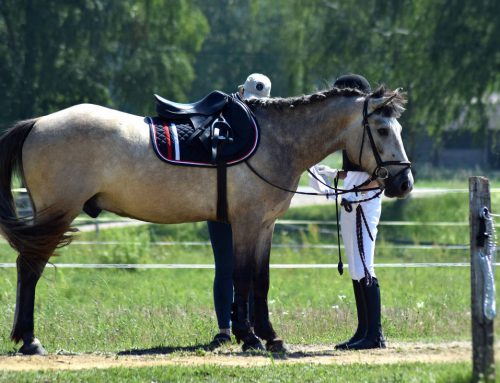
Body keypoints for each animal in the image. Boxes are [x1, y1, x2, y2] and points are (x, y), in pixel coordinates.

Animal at [0, 85, 414, 356]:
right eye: (381, 129)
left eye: (399, 129)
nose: (404, 182)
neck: (275, 140)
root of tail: (38, 123)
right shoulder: (246, 223)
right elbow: (243, 279)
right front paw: (251, 338)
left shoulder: (264, 226)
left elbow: (261, 281)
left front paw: (270, 337)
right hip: (56, 214)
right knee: (30, 268)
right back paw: (30, 340)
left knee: (26, 267)